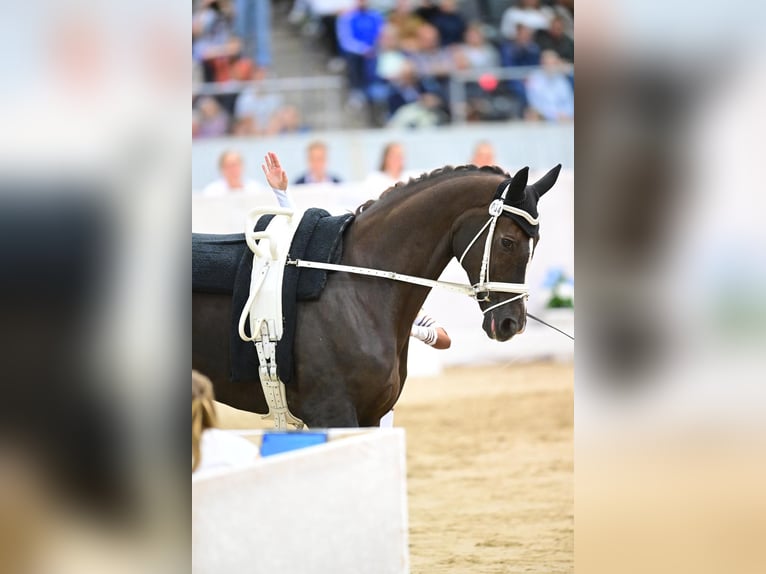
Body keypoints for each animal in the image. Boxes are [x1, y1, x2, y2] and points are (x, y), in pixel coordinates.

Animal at [194, 164, 564, 430]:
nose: (511, 322)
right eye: (507, 242)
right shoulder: (332, 412)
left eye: (536, 241)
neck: (356, 282)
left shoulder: (371, 415)